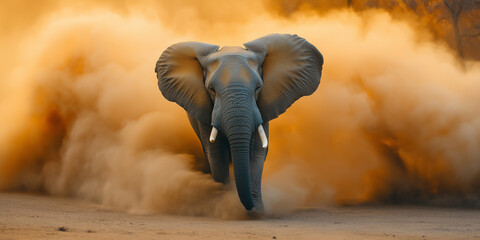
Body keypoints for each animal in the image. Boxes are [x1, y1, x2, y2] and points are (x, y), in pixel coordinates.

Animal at [156, 33, 324, 212]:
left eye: (258, 87)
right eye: (211, 89)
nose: (250, 207)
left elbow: (256, 151)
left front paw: (257, 212)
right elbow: (217, 153)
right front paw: (224, 203)